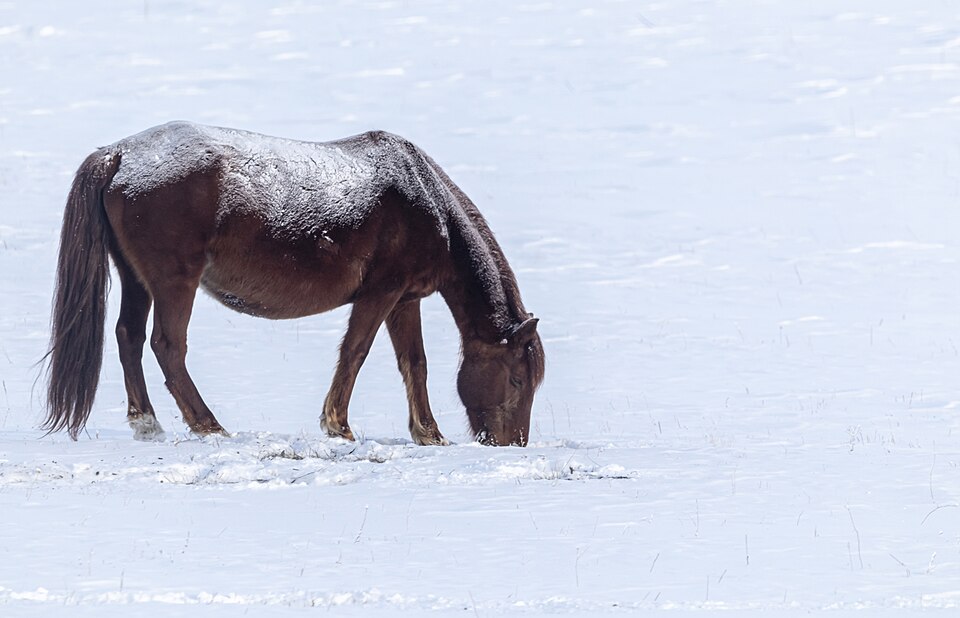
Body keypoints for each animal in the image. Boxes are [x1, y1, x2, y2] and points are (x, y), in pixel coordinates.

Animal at [43, 121, 544, 446]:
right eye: (518, 378)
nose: (512, 442)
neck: (424, 200)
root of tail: (119, 155)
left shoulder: (405, 300)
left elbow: (414, 363)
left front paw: (429, 433)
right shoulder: (382, 292)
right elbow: (356, 352)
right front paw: (338, 425)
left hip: (137, 280)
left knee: (128, 336)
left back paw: (147, 424)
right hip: (173, 281)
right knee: (167, 346)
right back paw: (208, 425)